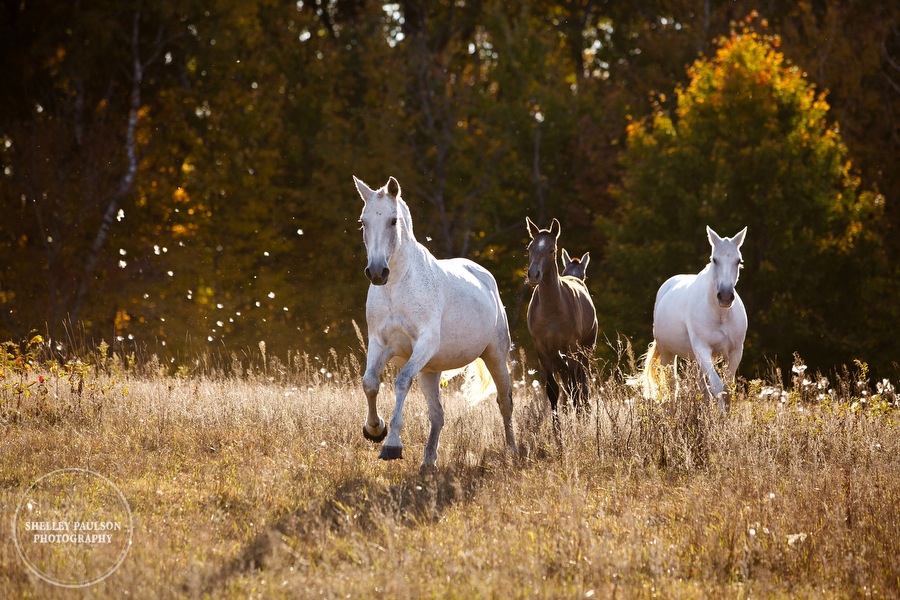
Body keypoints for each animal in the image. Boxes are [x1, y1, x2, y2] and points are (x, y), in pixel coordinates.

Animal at [356, 176, 516, 466]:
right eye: (364, 221)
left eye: (393, 220)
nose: (376, 272)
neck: (397, 287)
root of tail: (486, 277)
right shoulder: (379, 343)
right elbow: (370, 383)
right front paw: (374, 429)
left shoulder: (424, 343)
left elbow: (401, 382)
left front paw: (392, 444)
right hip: (430, 370)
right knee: (438, 415)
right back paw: (427, 463)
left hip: (495, 355)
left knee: (505, 401)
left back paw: (513, 452)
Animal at [636, 226, 748, 412]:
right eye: (714, 260)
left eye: (738, 261)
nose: (725, 296)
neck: (720, 315)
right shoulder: (703, 349)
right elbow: (717, 385)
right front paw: (721, 415)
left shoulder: (735, 352)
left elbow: (727, 388)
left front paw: (727, 415)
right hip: (668, 353)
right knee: (672, 385)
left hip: (696, 360)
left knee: (701, 389)